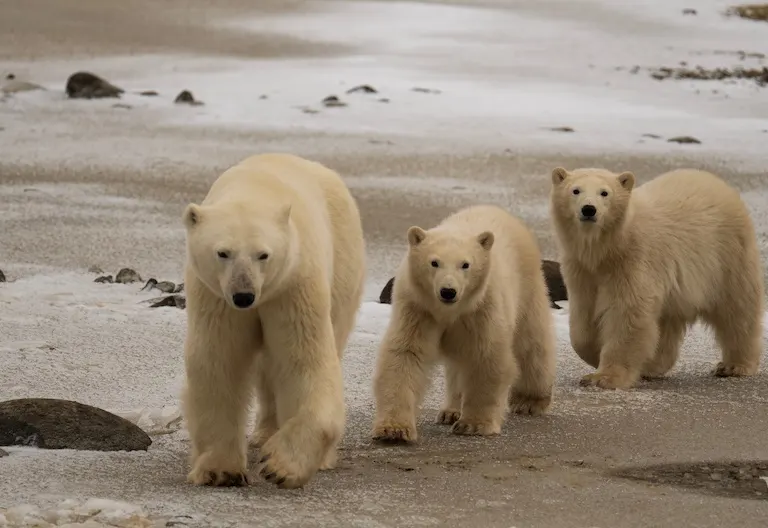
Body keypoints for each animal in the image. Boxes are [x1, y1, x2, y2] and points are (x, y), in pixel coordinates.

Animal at [181, 152, 366, 489]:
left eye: (263, 254)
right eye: (223, 252)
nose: (244, 295)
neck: (254, 189)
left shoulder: (293, 285)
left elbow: (304, 360)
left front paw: (281, 466)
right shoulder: (215, 298)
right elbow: (219, 362)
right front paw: (220, 471)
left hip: (344, 263)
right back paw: (264, 433)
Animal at [371, 204, 557, 442]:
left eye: (465, 265)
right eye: (434, 262)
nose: (448, 291)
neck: (449, 311)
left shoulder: (481, 308)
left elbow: (485, 356)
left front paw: (473, 424)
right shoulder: (417, 308)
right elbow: (405, 354)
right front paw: (394, 430)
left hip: (527, 286)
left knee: (530, 342)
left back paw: (529, 400)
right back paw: (450, 411)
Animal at [549, 166, 764, 390]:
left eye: (604, 192)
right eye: (575, 190)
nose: (589, 209)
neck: (609, 249)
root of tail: (719, 183)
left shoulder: (633, 261)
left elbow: (629, 314)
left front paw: (605, 377)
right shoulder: (582, 269)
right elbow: (584, 317)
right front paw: (595, 355)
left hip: (726, 256)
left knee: (736, 309)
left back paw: (734, 365)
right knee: (667, 322)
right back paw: (652, 365)